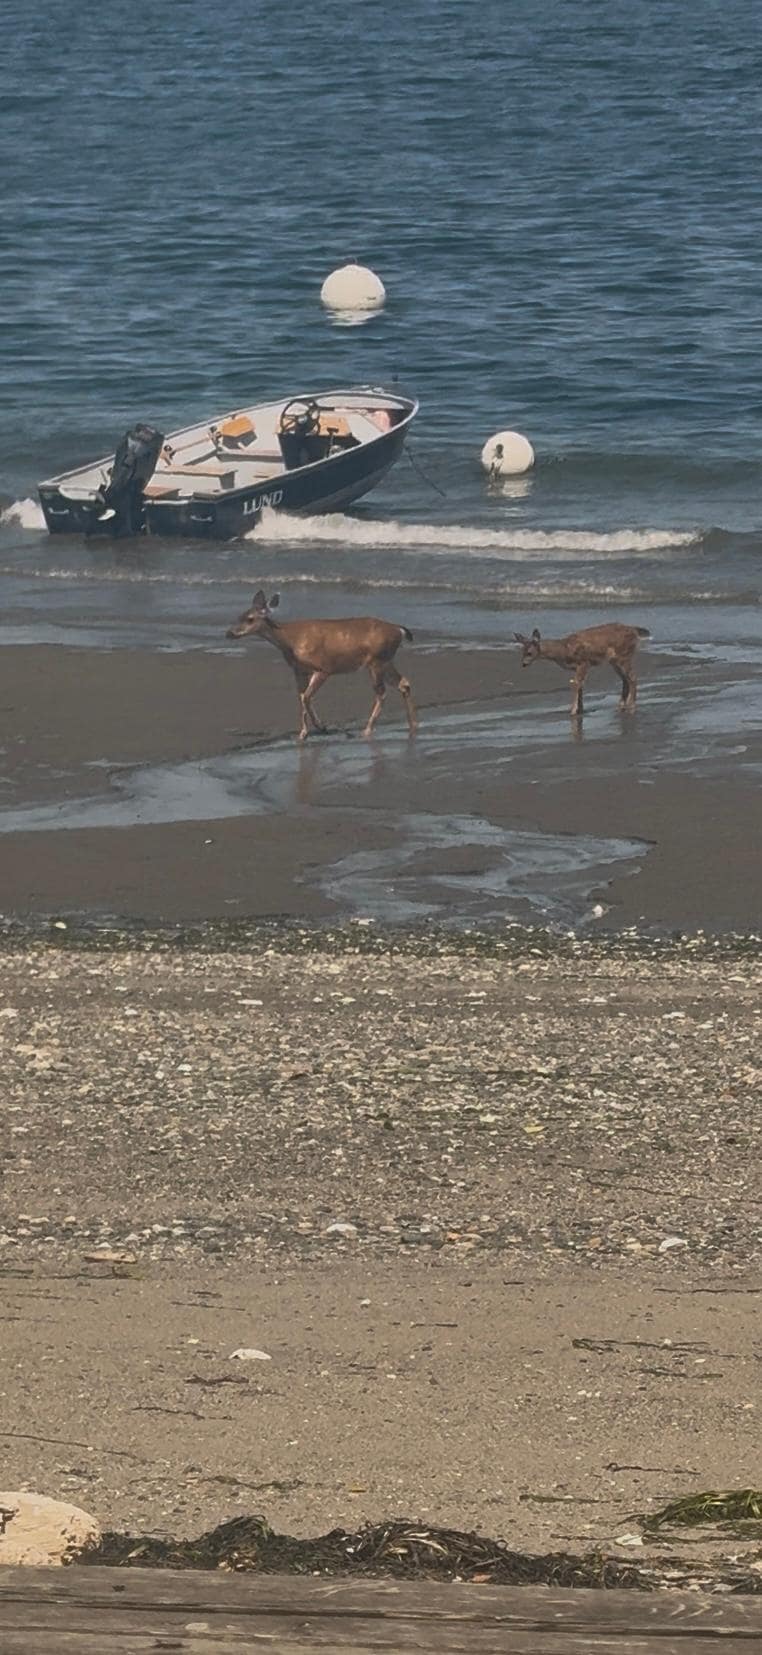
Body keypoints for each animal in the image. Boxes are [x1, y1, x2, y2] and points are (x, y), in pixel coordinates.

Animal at [226, 590, 417, 742]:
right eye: (239, 616)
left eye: (250, 619)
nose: (229, 633)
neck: (290, 641)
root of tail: (399, 630)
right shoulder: (299, 670)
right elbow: (301, 698)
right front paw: (303, 734)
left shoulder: (323, 667)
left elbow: (306, 698)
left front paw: (322, 727)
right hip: (385, 660)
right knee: (404, 683)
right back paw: (413, 725)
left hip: (377, 661)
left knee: (382, 693)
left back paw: (367, 730)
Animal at [514, 622, 650, 718]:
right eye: (522, 652)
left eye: (530, 653)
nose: (523, 664)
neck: (564, 650)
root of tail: (635, 630)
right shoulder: (578, 667)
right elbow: (580, 685)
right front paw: (580, 709)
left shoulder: (584, 662)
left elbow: (575, 684)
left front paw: (573, 711)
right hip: (615, 660)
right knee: (625, 679)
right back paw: (622, 705)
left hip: (624, 656)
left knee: (632, 677)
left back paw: (631, 705)